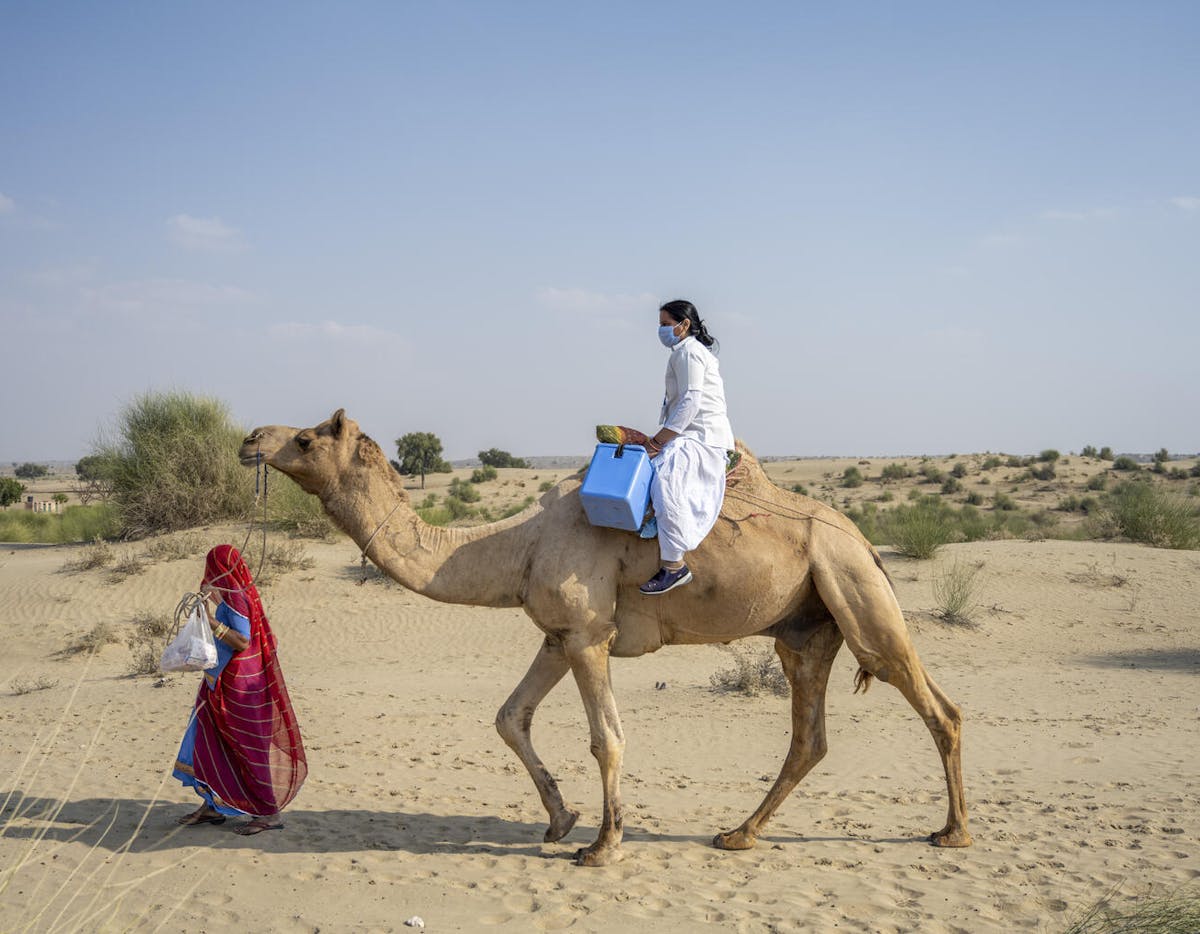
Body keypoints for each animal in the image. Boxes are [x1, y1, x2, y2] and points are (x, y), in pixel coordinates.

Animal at [240, 409, 971, 866]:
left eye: (306, 440)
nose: (250, 438)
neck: (521, 542)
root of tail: (864, 540)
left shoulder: (590, 633)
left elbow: (606, 739)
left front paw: (601, 845)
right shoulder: (559, 635)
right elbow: (509, 716)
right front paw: (559, 821)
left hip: (854, 591)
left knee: (938, 707)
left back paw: (953, 833)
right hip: (807, 629)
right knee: (809, 736)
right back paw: (738, 834)